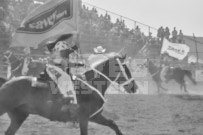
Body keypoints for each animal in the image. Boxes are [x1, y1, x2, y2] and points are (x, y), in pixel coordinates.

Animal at [0, 52, 138, 135]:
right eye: (125, 68)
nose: (134, 87)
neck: (91, 86)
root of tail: (7, 82)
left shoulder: (95, 116)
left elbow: (113, 124)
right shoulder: (84, 118)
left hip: (19, 116)